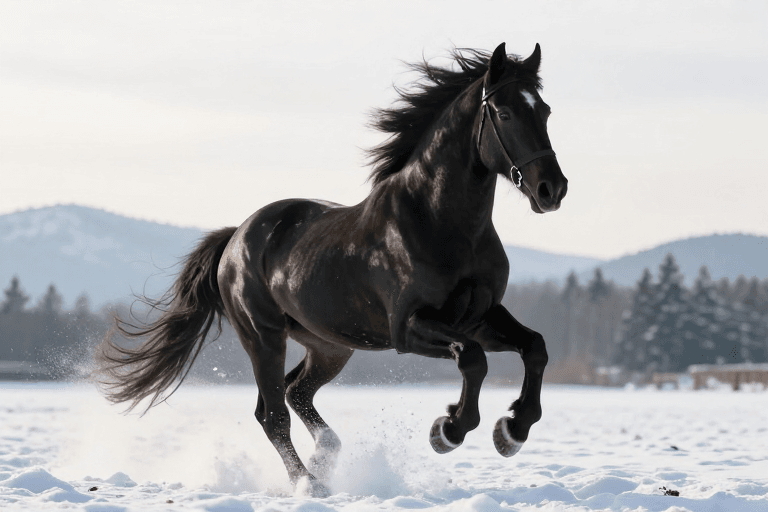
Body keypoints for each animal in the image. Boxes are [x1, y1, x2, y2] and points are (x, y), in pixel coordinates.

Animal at [101, 42, 568, 497]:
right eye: (504, 113)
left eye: (544, 110)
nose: (552, 189)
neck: (439, 222)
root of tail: (235, 239)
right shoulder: (410, 327)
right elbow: (472, 359)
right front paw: (448, 430)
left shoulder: (478, 317)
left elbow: (535, 347)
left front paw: (512, 431)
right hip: (263, 336)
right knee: (272, 414)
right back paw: (309, 483)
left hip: (329, 345)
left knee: (295, 394)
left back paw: (325, 460)